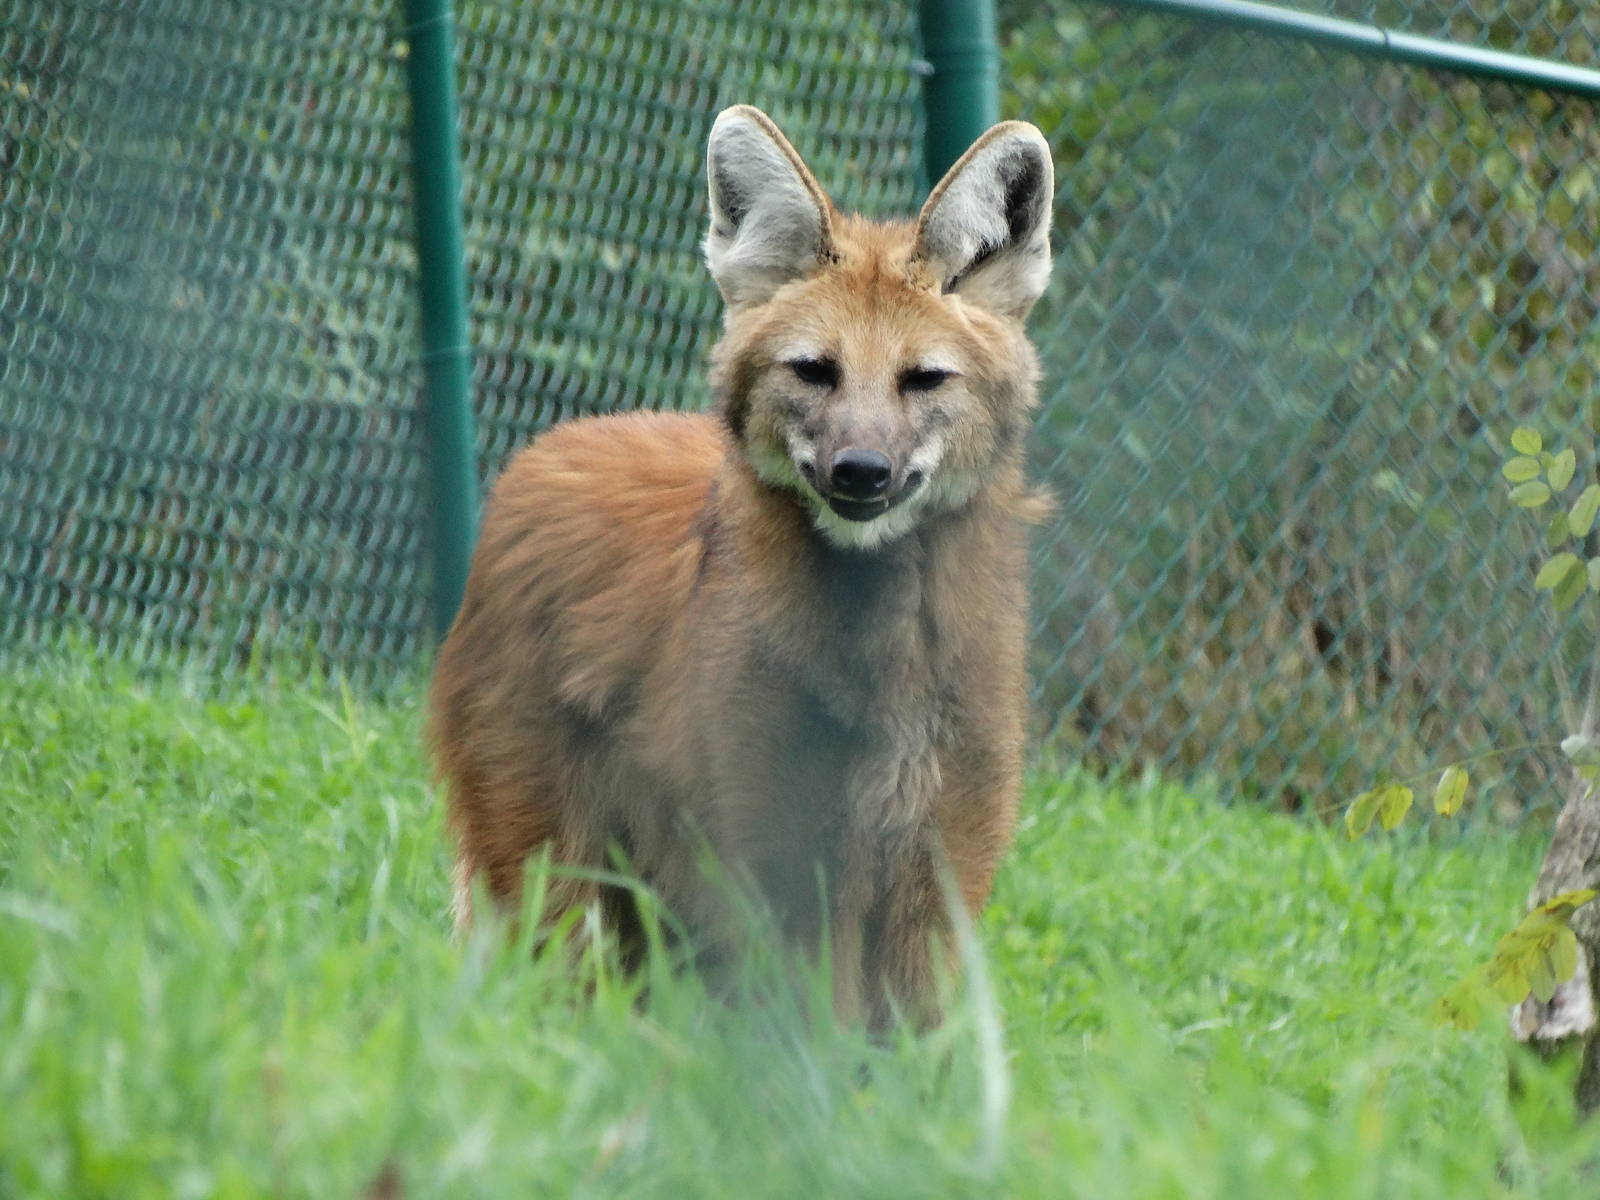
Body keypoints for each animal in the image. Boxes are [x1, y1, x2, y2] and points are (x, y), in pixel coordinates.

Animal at [426, 105, 1054, 1028]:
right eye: (815, 371)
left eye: (923, 379)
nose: (860, 471)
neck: (886, 665)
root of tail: (550, 445)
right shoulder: (780, 861)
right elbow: (809, 1034)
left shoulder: (933, 874)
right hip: (556, 866)